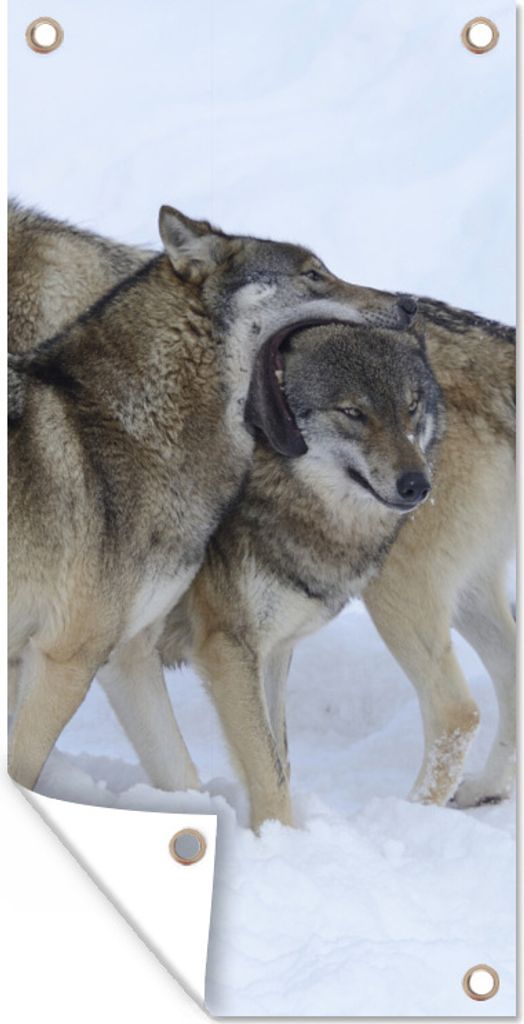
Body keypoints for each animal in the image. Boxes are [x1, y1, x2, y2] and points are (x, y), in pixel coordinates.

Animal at [8, 201, 412, 790]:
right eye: (313, 273)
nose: (408, 304)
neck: (133, 426)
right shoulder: (65, 656)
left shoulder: (124, 658)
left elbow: (184, 776)